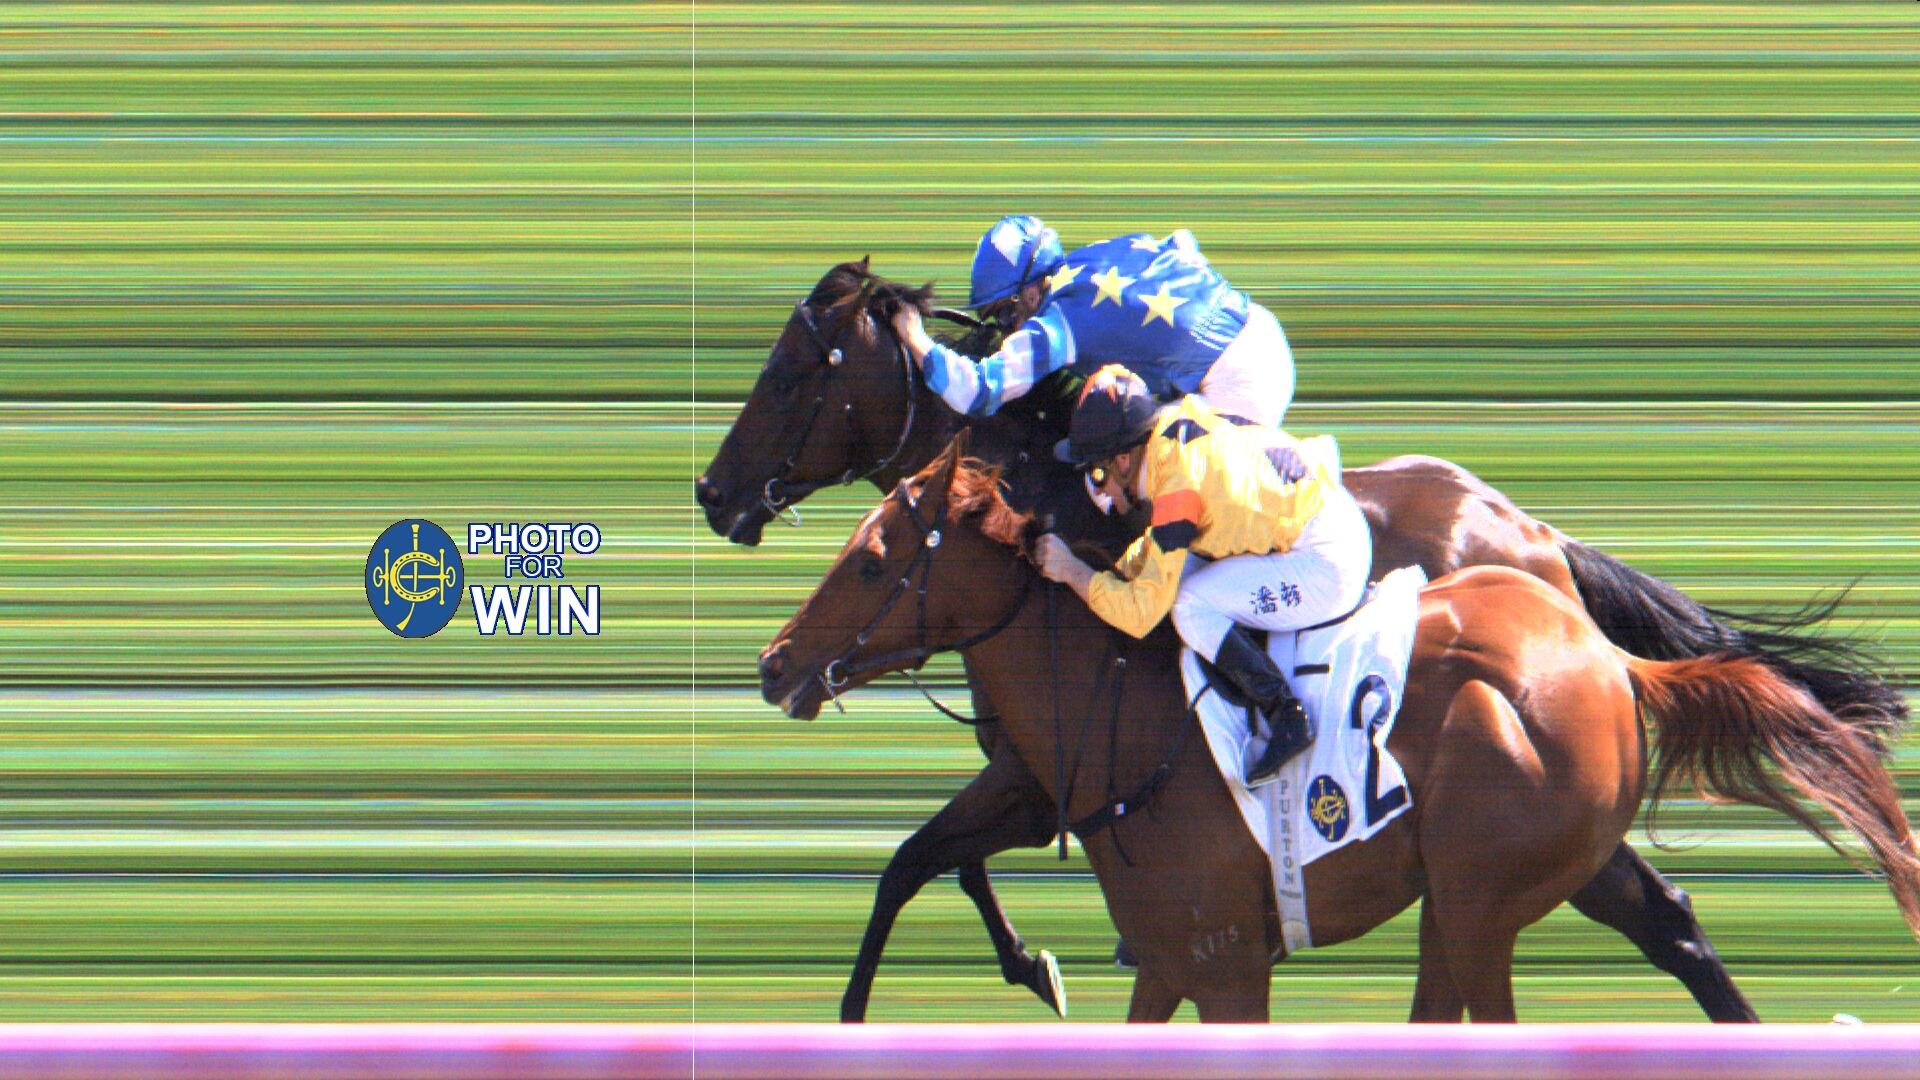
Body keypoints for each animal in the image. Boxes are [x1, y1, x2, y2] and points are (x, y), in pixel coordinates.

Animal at [697, 258, 1899, 1022]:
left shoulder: (1045, 771)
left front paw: (1029, 967)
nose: (713, 495)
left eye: (790, 373)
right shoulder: (1037, 775)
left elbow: (923, 863)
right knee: (1669, 922)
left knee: (1656, 921)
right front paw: (1034, 964)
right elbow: (919, 863)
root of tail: (1535, 535)